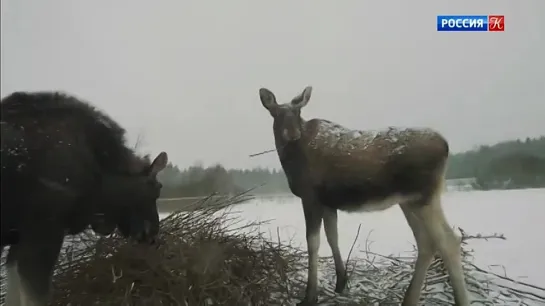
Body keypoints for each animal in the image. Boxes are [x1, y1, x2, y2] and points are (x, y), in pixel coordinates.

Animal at [258, 86, 468, 306]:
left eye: (297, 112)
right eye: (276, 113)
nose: (292, 133)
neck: (291, 160)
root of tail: (446, 146)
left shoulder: (310, 197)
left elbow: (313, 243)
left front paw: (310, 296)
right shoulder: (328, 203)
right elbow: (333, 237)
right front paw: (341, 282)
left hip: (424, 197)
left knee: (449, 241)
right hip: (409, 201)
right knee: (427, 242)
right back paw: (410, 299)